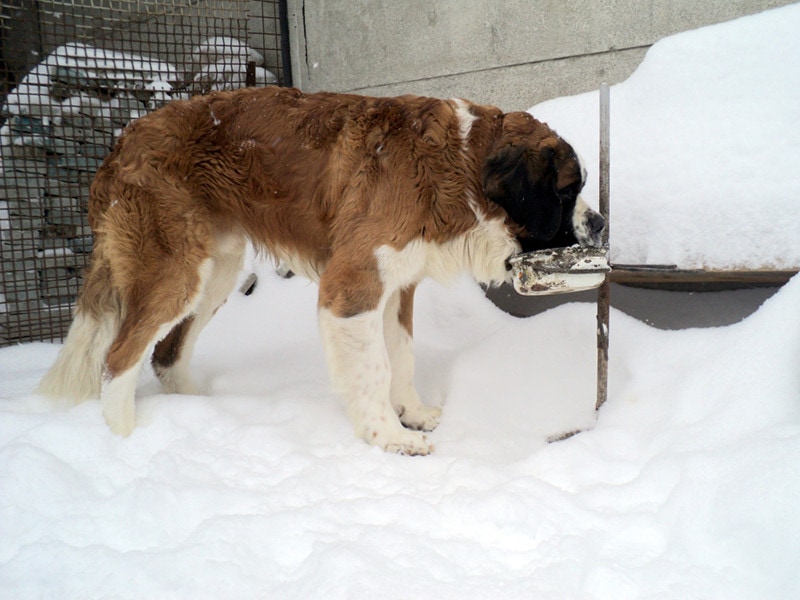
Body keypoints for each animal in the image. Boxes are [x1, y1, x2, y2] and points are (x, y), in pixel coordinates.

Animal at [36, 86, 600, 454]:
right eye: (566, 190)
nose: (598, 223)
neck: (459, 162)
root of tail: (122, 140)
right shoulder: (352, 285)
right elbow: (375, 368)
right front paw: (389, 436)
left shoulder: (397, 287)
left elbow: (403, 355)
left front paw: (414, 414)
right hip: (175, 270)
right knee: (119, 356)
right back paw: (124, 438)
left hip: (218, 269)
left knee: (167, 354)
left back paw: (202, 414)